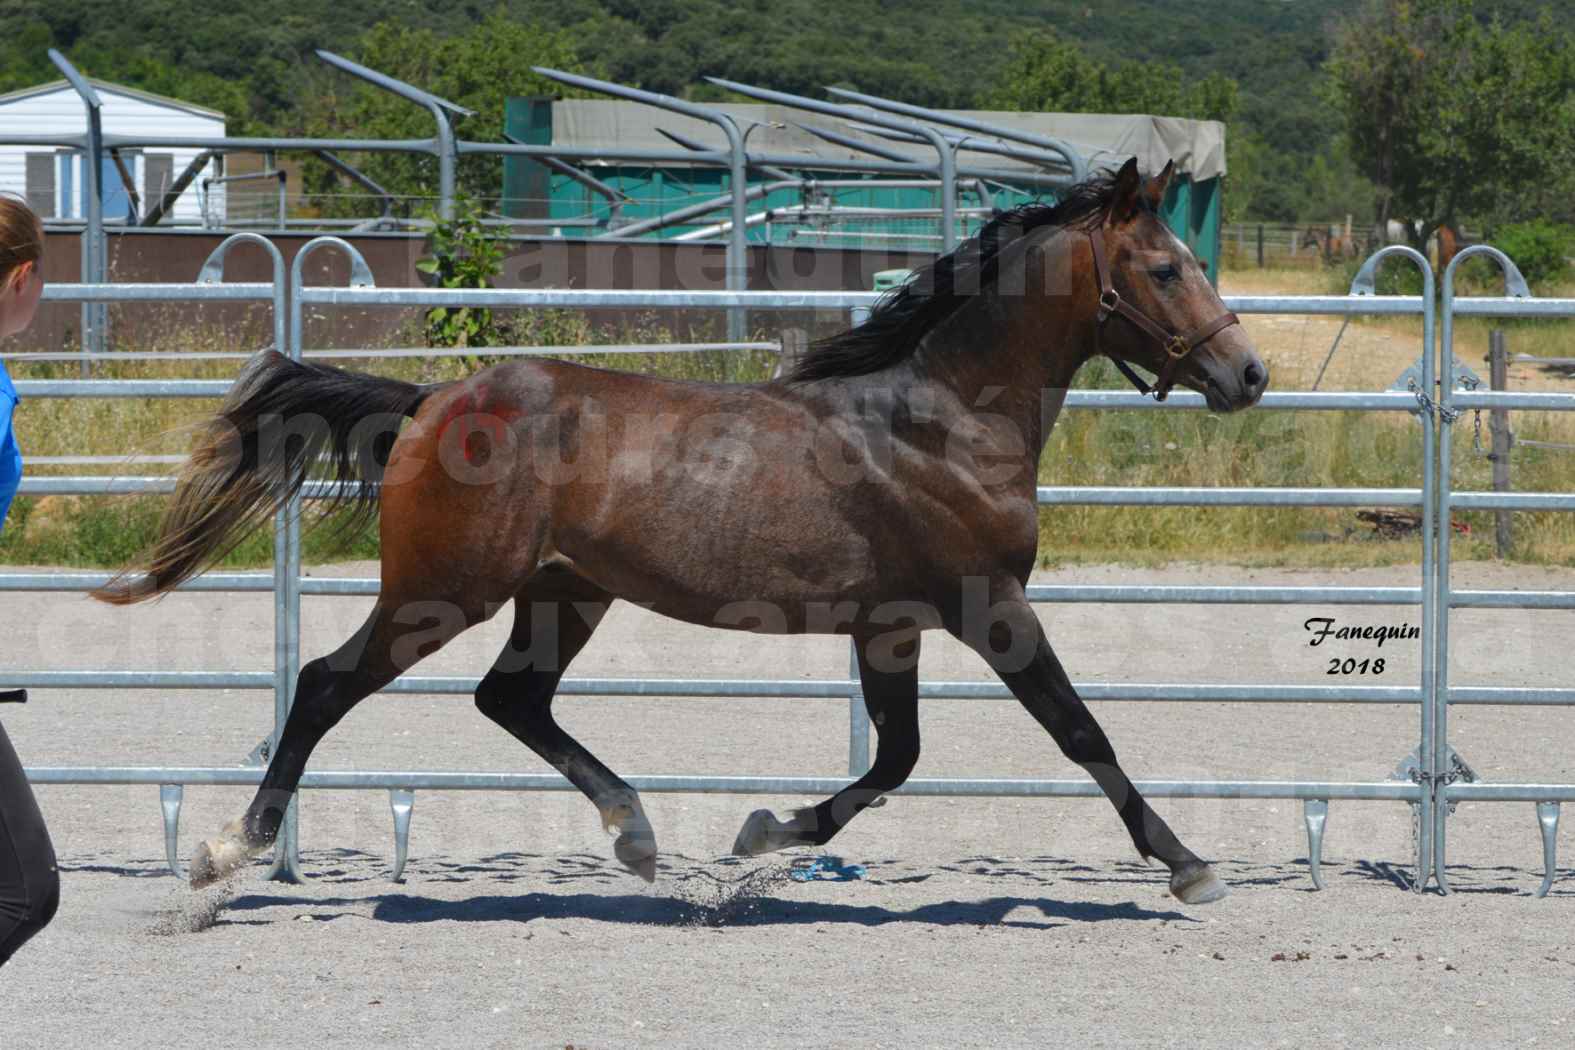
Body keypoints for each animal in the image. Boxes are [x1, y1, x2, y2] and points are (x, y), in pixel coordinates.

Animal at [92, 160, 1266, 906]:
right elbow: (1079, 734)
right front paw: (1188, 866)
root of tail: (431, 401)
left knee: (510, 699)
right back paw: (229, 850)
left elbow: (897, 757)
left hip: (564, 592)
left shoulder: (890, 625)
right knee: (328, 684)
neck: (938, 422)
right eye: (1166, 267)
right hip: (443, 593)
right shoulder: (990, 607)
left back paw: (639, 838)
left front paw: (761, 836)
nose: (1246, 373)